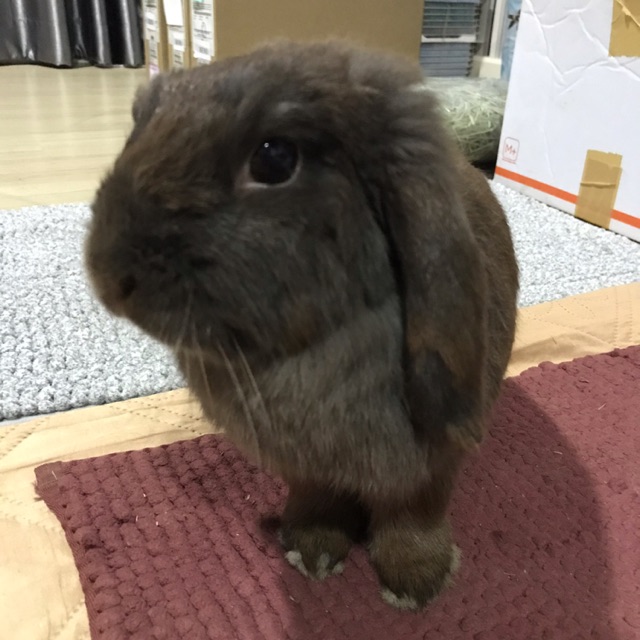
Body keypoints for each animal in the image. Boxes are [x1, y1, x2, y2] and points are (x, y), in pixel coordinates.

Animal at [85, 40, 519, 611]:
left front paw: (416, 584)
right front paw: (310, 552)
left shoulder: (433, 463)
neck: (307, 349)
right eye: (139, 122)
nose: (109, 278)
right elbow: (316, 499)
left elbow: (415, 513)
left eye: (274, 158)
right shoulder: (305, 468)